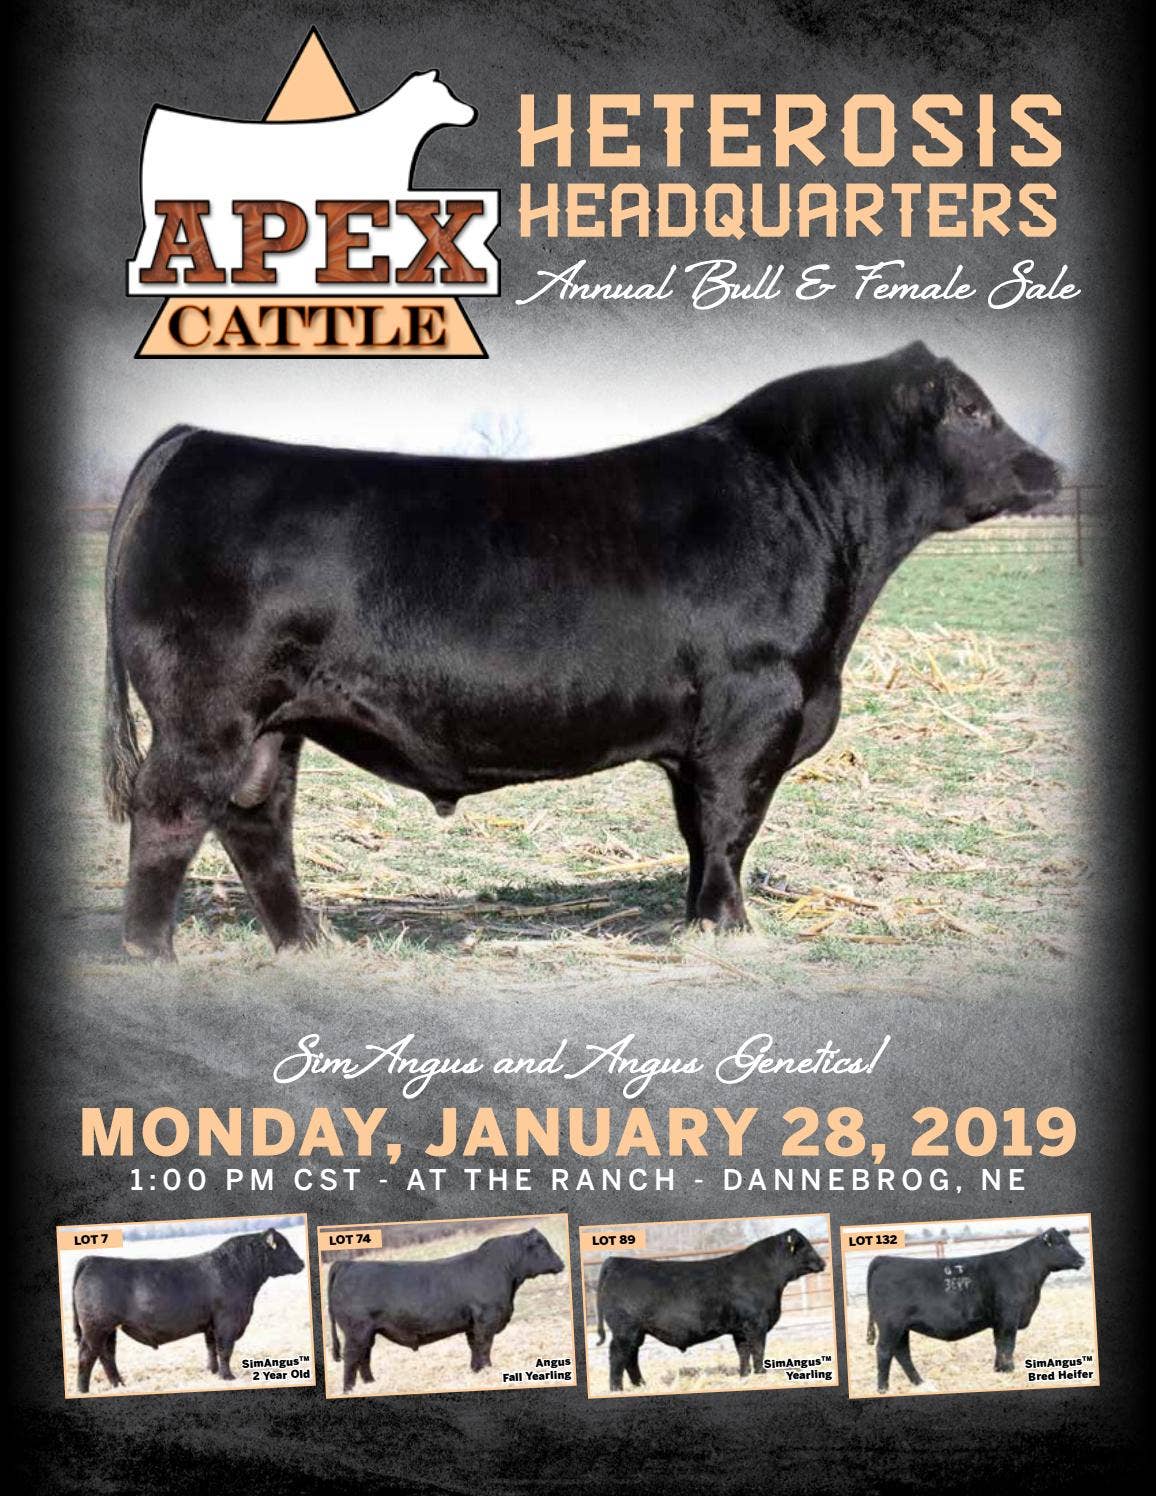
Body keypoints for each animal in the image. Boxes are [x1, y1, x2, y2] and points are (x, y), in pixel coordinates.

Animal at [71, 1227, 305, 1392]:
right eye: (284, 1247)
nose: (302, 1263)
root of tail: (92, 1259)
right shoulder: (227, 1322)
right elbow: (225, 1350)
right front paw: (228, 1377)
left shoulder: (210, 1325)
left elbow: (211, 1349)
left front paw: (213, 1373)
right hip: (96, 1327)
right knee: (86, 1356)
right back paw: (84, 1390)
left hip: (108, 1329)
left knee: (107, 1356)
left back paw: (119, 1385)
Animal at [102, 344, 1060, 959]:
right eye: (974, 409)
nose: (1050, 468)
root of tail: (198, 440)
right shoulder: (754, 713)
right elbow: (729, 828)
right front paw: (729, 929)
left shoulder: (707, 737)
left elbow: (698, 833)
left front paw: (696, 922)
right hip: (206, 709)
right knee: (174, 811)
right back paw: (151, 955)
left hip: (272, 721)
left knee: (255, 817)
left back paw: (305, 945)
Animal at [327, 1227, 565, 1392]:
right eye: (544, 1245)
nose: (562, 1263)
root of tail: (347, 1263)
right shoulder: (486, 1319)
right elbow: (485, 1346)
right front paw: (488, 1370)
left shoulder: (472, 1324)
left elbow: (474, 1347)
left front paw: (476, 1371)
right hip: (357, 1330)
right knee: (352, 1358)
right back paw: (349, 1390)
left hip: (367, 1333)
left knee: (364, 1357)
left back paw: (370, 1384)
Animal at [595, 1228, 826, 1390]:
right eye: (806, 1246)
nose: (823, 1263)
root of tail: (616, 1261)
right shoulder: (756, 1325)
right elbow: (758, 1351)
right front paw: (761, 1375)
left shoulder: (740, 1329)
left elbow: (743, 1353)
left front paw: (744, 1376)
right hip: (625, 1330)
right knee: (618, 1356)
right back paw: (617, 1389)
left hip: (636, 1332)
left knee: (631, 1357)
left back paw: (641, 1386)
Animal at [865, 1227, 1085, 1392]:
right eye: (1060, 1244)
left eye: (1068, 1242)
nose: (1082, 1260)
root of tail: (883, 1259)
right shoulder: (1009, 1316)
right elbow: (1008, 1344)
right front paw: (1009, 1370)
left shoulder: (998, 1320)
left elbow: (999, 1344)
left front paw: (999, 1369)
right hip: (891, 1325)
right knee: (884, 1351)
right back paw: (883, 1389)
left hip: (902, 1328)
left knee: (902, 1353)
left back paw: (919, 1382)